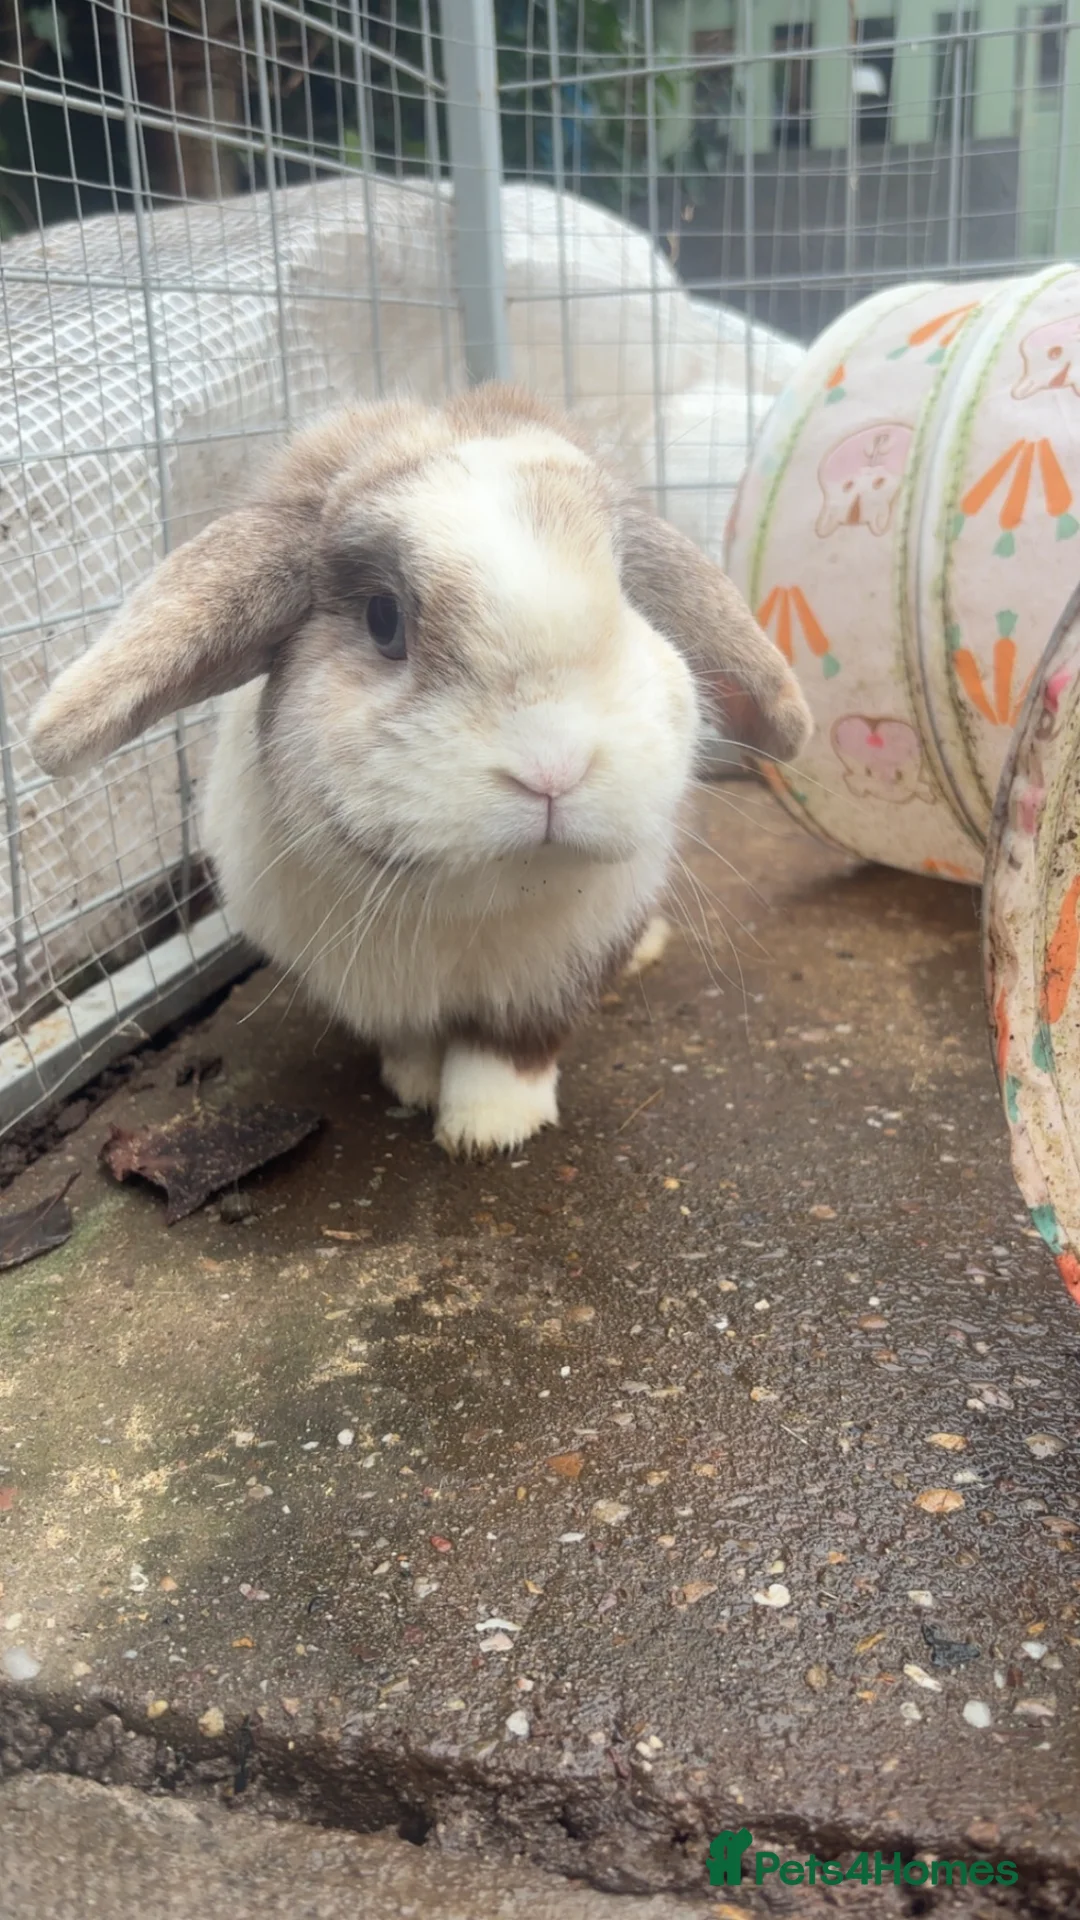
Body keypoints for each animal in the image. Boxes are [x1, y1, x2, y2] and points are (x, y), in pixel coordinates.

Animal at [28, 383, 811, 1157]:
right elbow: (411, 1043)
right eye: (384, 619)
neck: (473, 902)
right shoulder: (381, 991)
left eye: (626, 599)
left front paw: (488, 1130)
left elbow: (511, 1052)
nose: (552, 769)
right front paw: (417, 1086)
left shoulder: (552, 977)